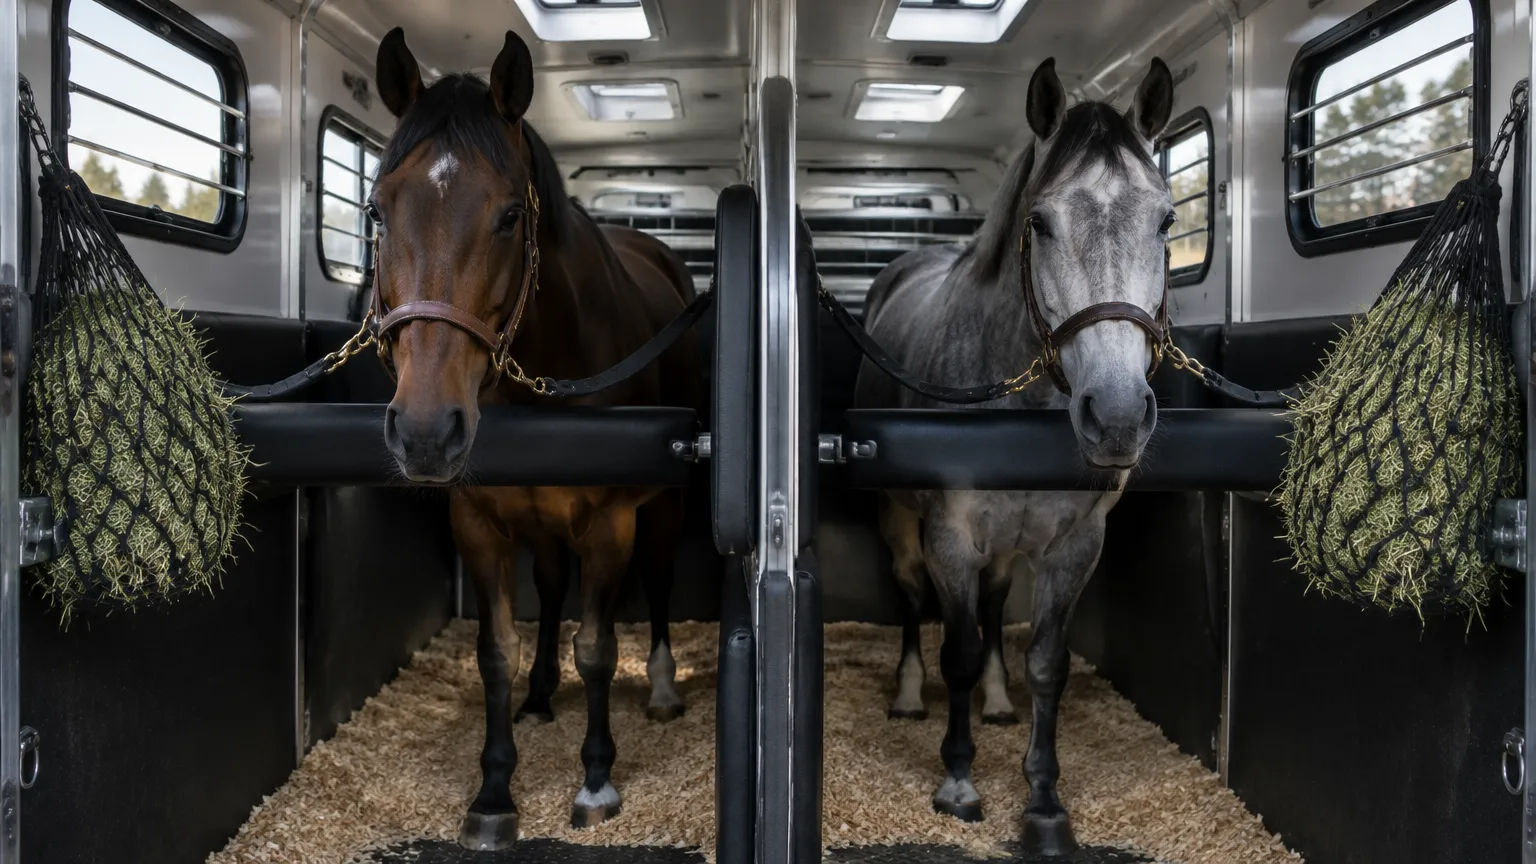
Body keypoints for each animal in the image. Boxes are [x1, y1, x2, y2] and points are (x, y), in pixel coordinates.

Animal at [369, 27, 703, 850]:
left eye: (508, 218)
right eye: (378, 212)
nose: (425, 431)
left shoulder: (611, 523)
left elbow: (598, 648)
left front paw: (596, 779)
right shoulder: (479, 522)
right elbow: (497, 654)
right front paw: (494, 792)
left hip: (660, 511)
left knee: (652, 585)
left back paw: (658, 689)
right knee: (551, 590)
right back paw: (542, 695)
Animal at [852, 56, 1176, 855]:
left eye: (1165, 220)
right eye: (1039, 221)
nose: (1116, 415)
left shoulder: (1074, 546)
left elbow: (1046, 664)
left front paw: (1044, 800)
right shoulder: (950, 535)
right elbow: (958, 651)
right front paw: (958, 782)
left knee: (996, 608)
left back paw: (998, 701)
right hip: (901, 522)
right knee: (912, 600)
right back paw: (910, 694)